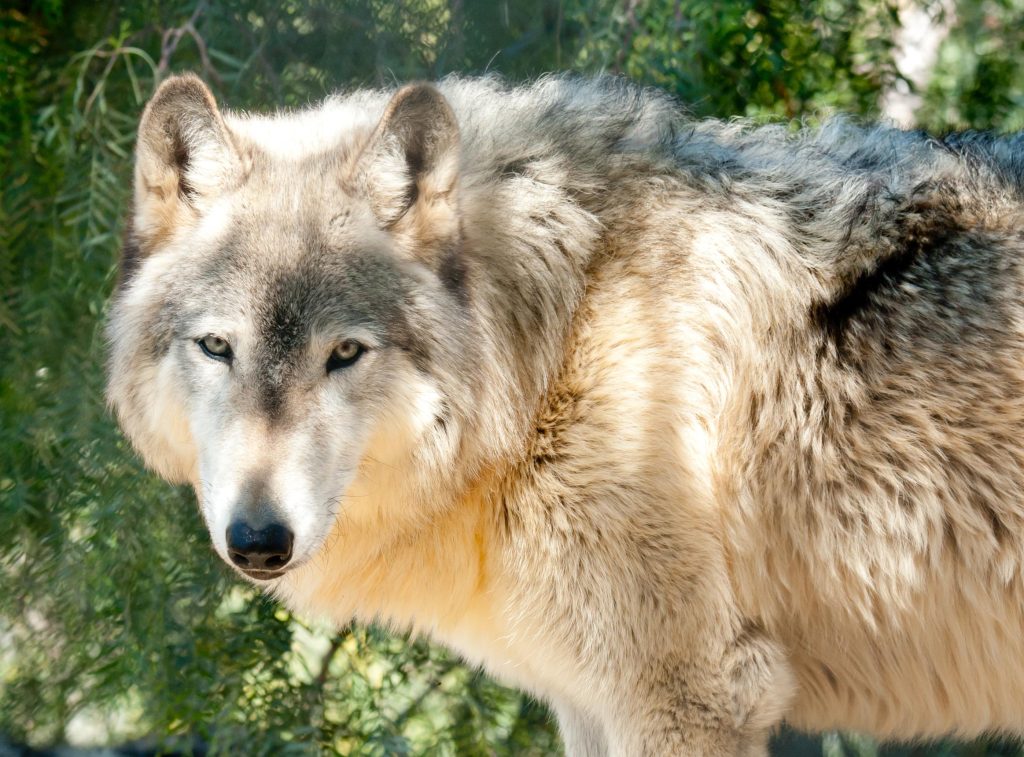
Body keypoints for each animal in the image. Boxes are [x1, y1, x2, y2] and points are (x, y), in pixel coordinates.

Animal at [106, 72, 1024, 754]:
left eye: (345, 353)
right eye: (217, 347)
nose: (258, 539)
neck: (562, 329)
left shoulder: (687, 697)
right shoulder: (592, 698)